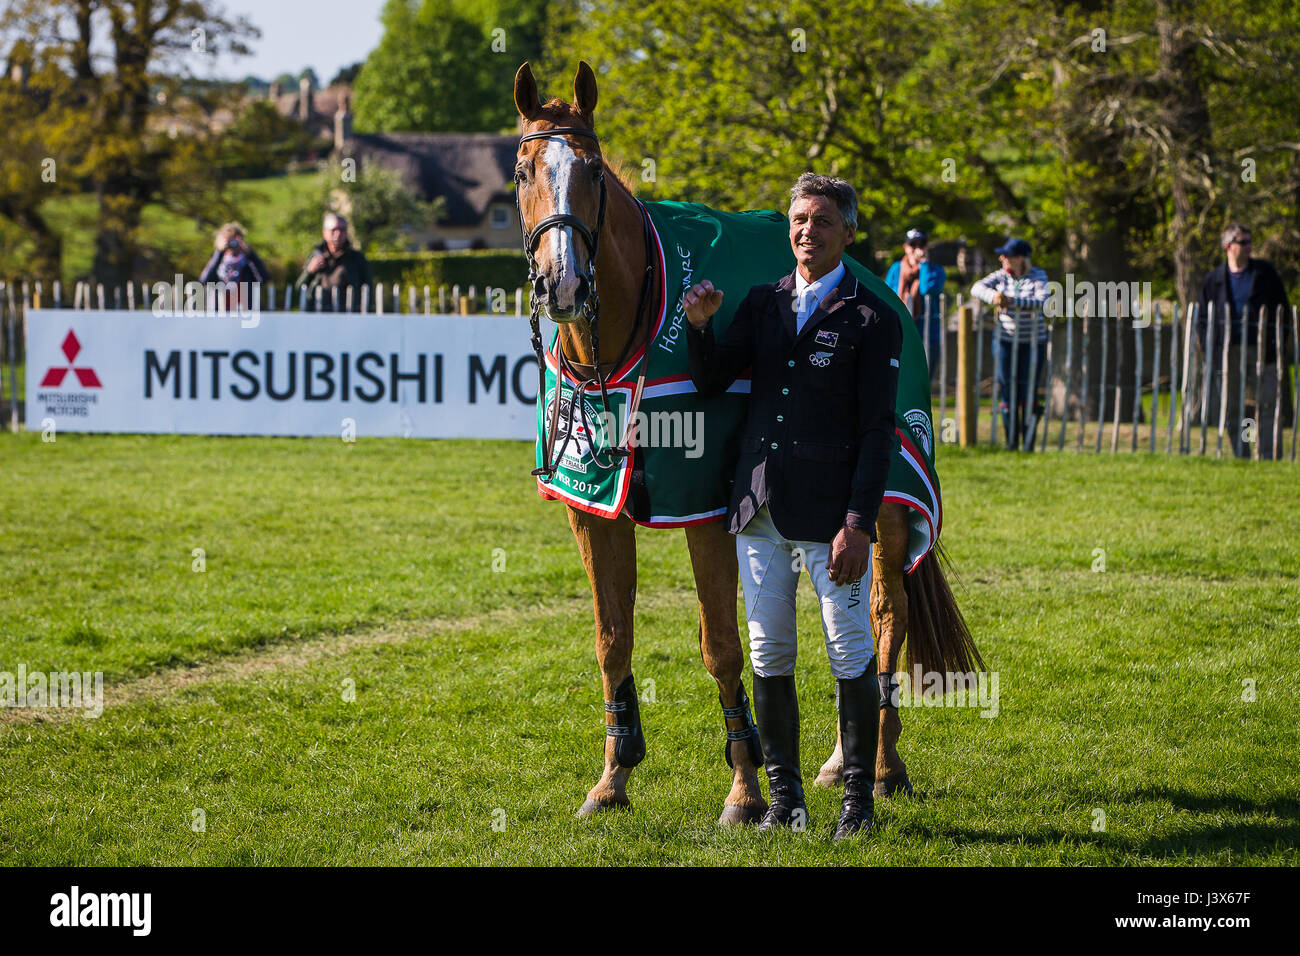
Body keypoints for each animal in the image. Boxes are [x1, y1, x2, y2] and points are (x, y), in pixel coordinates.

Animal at [512, 59, 977, 822]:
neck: (628, 340)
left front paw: (746, 789)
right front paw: (613, 777)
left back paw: (880, 765)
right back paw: (841, 758)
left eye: (593, 170)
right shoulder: (593, 509)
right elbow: (613, 640)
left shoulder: (706, 509)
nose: (564, 282)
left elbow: (724, 647)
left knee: (886, 614)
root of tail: (880, 285)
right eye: (524, 169)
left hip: (883, 497)